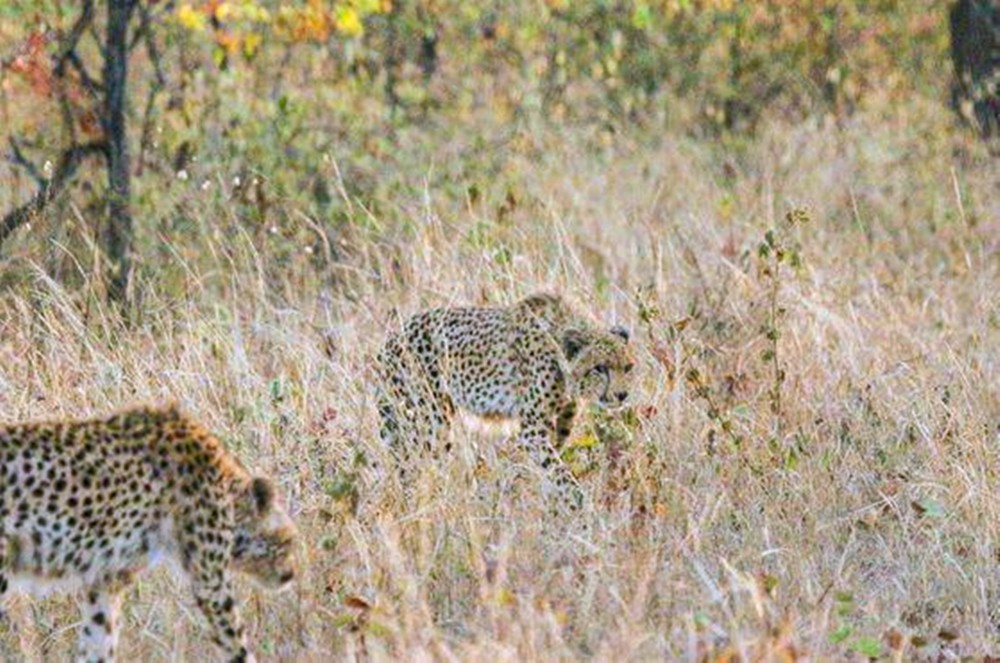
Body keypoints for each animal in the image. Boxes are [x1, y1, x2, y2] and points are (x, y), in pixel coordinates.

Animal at [0, 404, 296, 663]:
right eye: (288, 541)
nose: (291, 575)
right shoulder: (210, 583)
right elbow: (236, 644)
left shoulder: (106, 580)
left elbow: (99, 640)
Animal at [376, 294, 632, 496]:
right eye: (600, 368)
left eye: (628, 368)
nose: (622, 395)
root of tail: (391, 337)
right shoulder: (532, 432)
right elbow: (560, 474)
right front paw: (580, 507)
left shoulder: (558, 428)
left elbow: (550, 468)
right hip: (430, 423)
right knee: (415, 466)